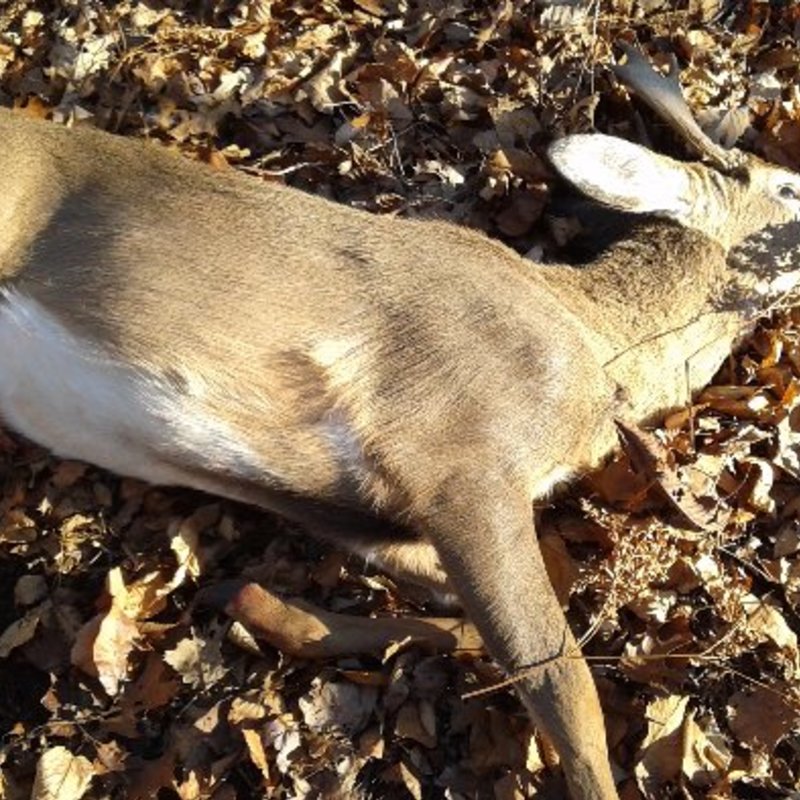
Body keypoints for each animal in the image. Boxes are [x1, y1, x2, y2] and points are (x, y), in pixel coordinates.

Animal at [0, 43, 798, 799]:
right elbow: (560, 679)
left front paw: (260, 606)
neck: (595, 347)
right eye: (789, 186)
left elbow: (470, 625)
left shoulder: (360, 508)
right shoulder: (457, 453)